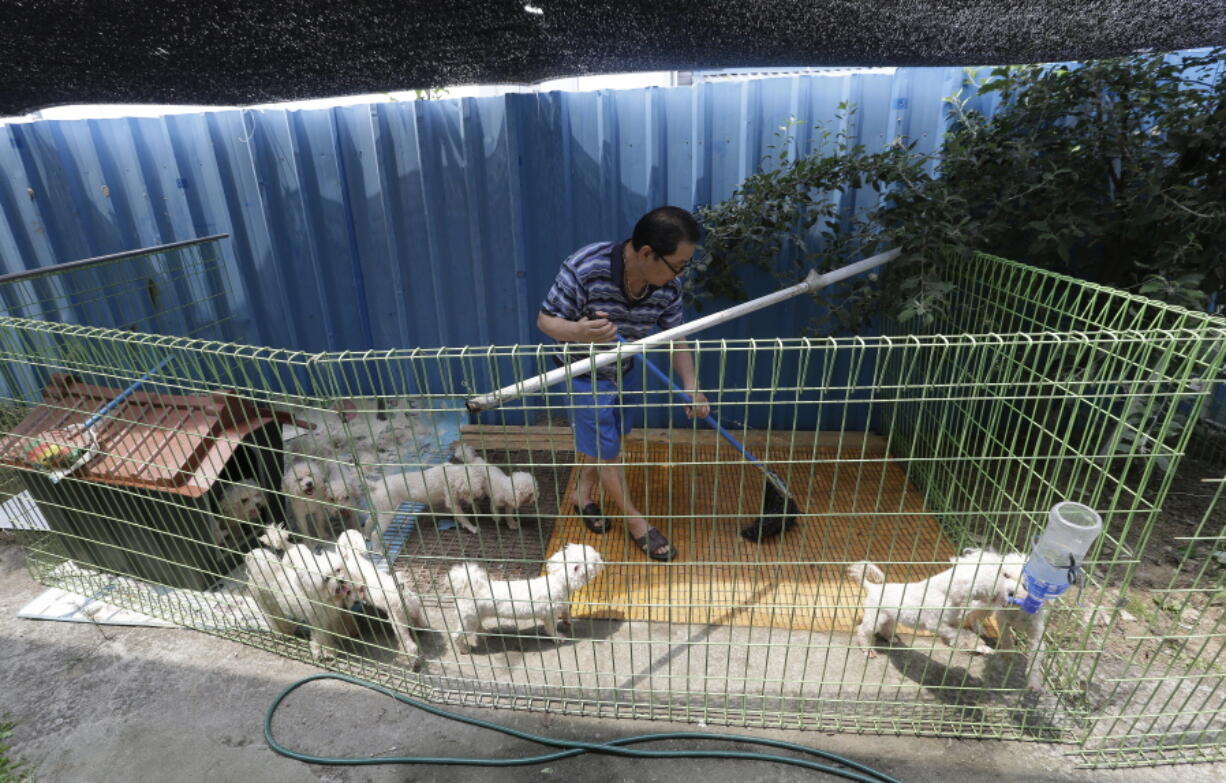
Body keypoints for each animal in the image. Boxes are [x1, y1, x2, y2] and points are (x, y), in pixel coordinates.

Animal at [243, 526, 362, 661]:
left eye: (338, 570)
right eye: (326, 579)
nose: (341, 580)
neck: (325, 598)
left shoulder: (333, 616)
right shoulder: (318, 623)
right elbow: (322, 639)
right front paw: (327, 652)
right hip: (268, 605)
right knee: (274, 619)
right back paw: (283, 632)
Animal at [335, 529, 431, 671]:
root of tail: (405, 595)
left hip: (398, 622)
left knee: (411, 646)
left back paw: (412, 662)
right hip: (415, 611)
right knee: (421, 622)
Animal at [448, 541, 605, 651]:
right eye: (592, 559)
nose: (600, 556)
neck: (558, 582)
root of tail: (470, 587)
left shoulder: (563, 605)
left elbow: (566, 612)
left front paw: (568, 621)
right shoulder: (550, 615)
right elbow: (551, 629)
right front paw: (558, 637)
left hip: (477, 615)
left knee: (478, 626)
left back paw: (485, 632)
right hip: (468, 619)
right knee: (456, 636)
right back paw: (464, 649)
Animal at [848, 548, 1029, 656]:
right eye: (994, 593)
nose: (1010, 597)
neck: (945, 593)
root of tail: (873, 587)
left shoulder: (953, 621)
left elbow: (958, 634)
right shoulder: (936, 624)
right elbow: (962, 634)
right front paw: (977, 643)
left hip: (890, 616)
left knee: (886, 627)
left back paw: (891, 638)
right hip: (875, 616)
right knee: (863, 631)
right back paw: (867, 649)